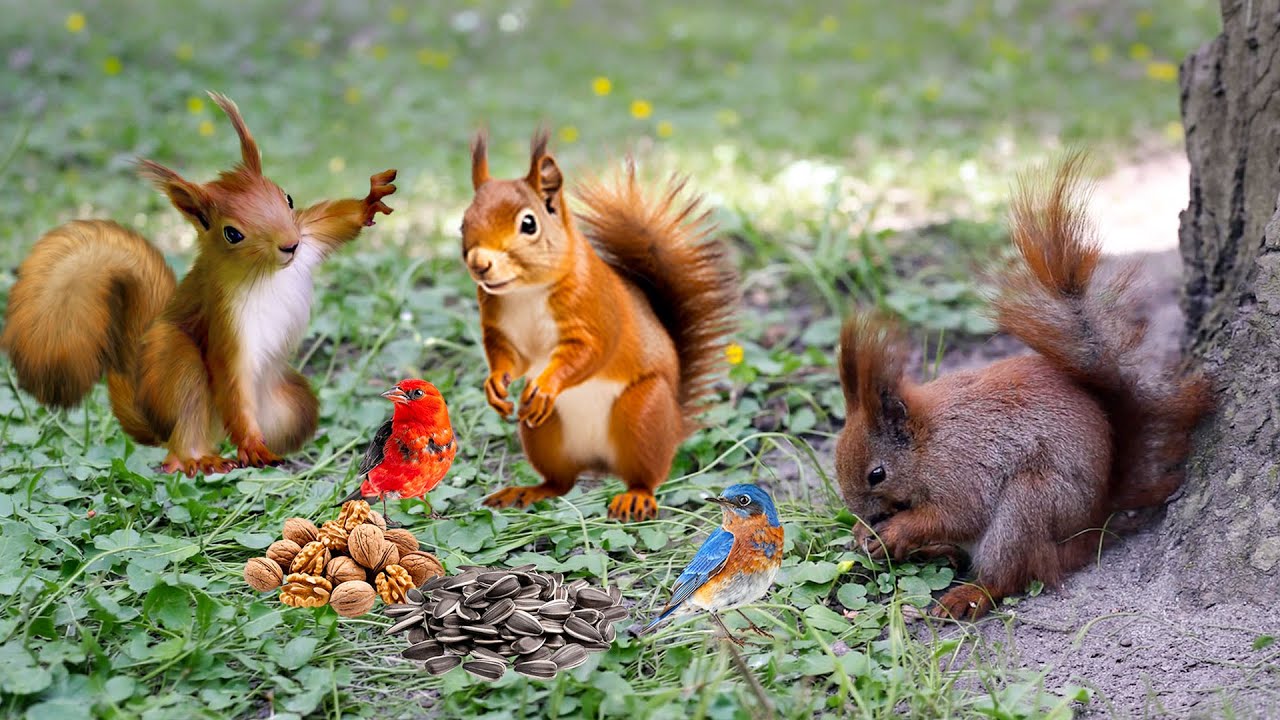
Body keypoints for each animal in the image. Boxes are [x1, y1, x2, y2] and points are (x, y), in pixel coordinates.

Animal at [1, 92, 396, 476]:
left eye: (288, 198)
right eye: (232, 233)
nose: (289, 244)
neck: (268, 272)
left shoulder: (310, 237)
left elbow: (334, 222)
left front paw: (370, 200)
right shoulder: (225, 319)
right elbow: (231, 377)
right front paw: (251, 444)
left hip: (290, 400)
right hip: (176, 364)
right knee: (186, 423)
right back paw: (199, 459)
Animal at [460, 131, 737, 522]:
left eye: (528, 224)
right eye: (463, 222)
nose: (478, 263)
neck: (526, 292)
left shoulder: (596, 312)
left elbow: (590, 353)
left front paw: (547, 385)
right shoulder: (500, 329)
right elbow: (507, 358)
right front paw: (495, 386)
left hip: (642, 414)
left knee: (645, 476)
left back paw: (635, 497)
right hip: (544, 433)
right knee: (561, 482)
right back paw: (527, 492)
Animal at [834, 153, 1210, 620]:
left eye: (877, 474)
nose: (863, 517)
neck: (926, 442)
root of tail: (1092, 524)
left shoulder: (960, 469)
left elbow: (959, 512)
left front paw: (894, 530)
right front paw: (861, 534)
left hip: (1028, 504)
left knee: (1008, 574)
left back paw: (966, 594)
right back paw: (933, 554)